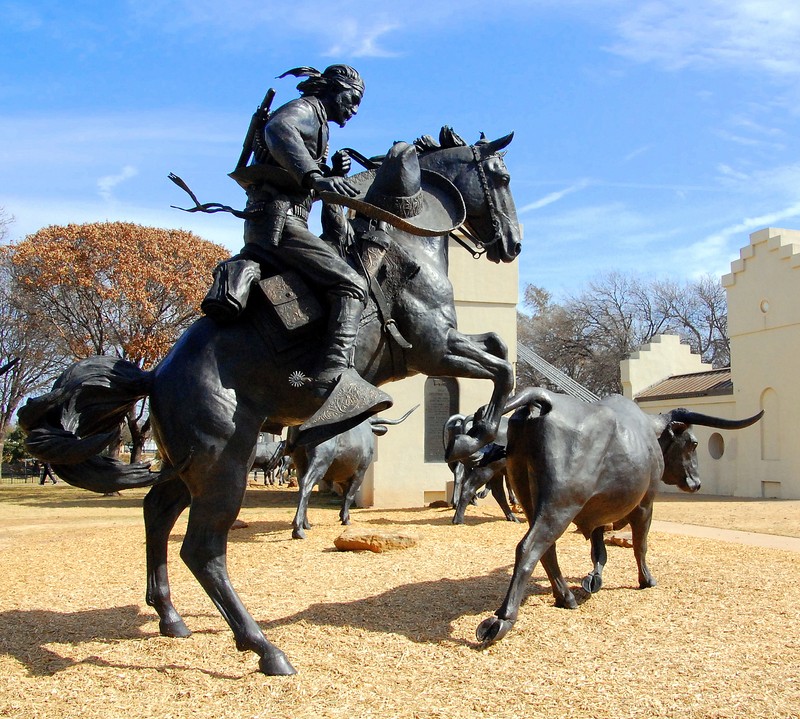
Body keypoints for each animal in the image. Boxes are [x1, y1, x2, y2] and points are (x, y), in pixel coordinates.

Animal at [18, 128, 520, 676]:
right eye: (502, 176)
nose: (512, 243)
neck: (404, 243)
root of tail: (158, 376)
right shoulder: (434, 347)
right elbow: (502, 366)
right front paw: (487, 424)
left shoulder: (447, 343)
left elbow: (498, 345)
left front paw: (486, 423)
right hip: (224, 466)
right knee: (203, 550)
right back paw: (262, 647)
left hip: (187, 466)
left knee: (156, 514)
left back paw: (171, 617)